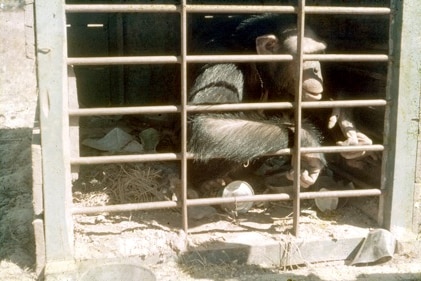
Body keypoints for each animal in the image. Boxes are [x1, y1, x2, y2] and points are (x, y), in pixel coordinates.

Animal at [187, 13, 328, 192]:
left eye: (320, 53)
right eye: (306, 56)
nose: (316, 70)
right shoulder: (221, 63)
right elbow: (207, 123)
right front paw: (308, 143)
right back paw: (210, 183)